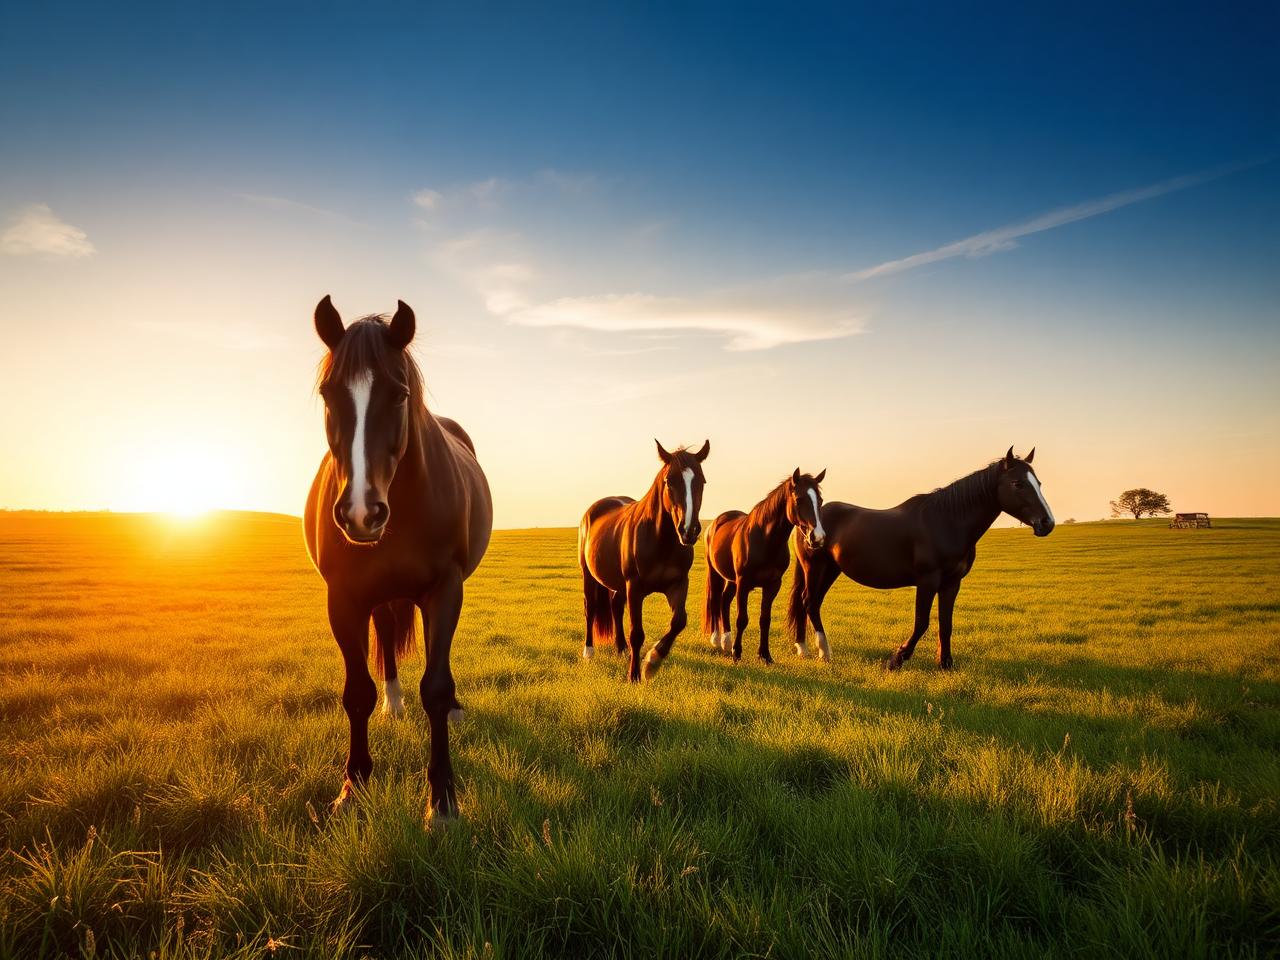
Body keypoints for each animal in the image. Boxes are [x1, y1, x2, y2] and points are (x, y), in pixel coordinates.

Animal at [303, 295, 492, 821]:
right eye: (328, 393)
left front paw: (443, 801)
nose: (361, 512)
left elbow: (437, 686)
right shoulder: (344, 599)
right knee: (387, 637)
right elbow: (356, 692)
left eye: (400, 394)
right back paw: (393, 703)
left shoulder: (444, 590)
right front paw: (353, 787)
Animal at [579, 439, 710, 682]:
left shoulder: (678, 584)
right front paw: (634, 675)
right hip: (589, 575)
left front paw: (652, 662)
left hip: (619, 585)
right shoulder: (635, 587)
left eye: (702, 481)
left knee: (615, 606)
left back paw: (621, 649)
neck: (661, 541)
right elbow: (637, 633)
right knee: (590, 608)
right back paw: (589, 651)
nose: (688, 530)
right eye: (669, 481)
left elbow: (679, 621)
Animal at [703, 469, 827, 664]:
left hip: (731, 580)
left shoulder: (772, 585)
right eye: (799, 499)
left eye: (820, 500)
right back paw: (717, 640)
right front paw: (737, 654)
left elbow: (765, 619)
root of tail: (715, 523)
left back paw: (726, 642)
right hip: (716, 574)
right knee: (715, 600)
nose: (818, 538)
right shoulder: (744, 583)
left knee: (724, 600)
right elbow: (742, 618)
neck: (765, 540)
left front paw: (765, 655)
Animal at [787, 448, 1054, 669]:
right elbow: (922, 622)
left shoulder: (951, 583)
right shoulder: (928, 581)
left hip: (830, 570)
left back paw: (804, 648)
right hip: (815, 568)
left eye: (1038, 483)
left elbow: (946, 623)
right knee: (810, 602)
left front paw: (945, 663)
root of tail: (808, 523)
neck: (947, 521)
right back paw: (823, 652)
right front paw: (896, 659)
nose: (1047, 523)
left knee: (808, 602)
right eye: (1018, 483)